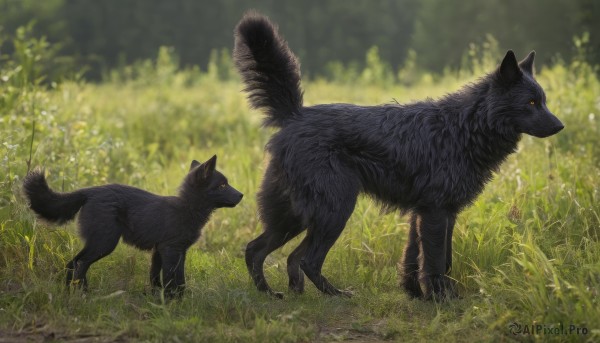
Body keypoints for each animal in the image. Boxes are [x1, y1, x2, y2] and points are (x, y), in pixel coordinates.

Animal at [22, 157, 244, 298]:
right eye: (222, 186)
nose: (242, 195)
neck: (187, 208)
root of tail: (90, 191)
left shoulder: (163, 251)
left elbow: (162, 278)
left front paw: (160, 298)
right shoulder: (171, 250)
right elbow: (172, 279)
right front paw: (173, 302)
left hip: (99, 243)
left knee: (72, 264)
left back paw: (71, 292)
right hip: (104, 243)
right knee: (79, 263)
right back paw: (82, 293)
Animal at [234, 12, 564, 300]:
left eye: (543, 101)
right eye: (531, 102)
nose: (560, 126)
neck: (465, 127)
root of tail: (295, 115)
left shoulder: (429, 214)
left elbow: (419, 259)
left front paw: (416, 294)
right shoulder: (436, 213)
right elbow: (436, 261)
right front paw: (441, 299)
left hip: (294, 217)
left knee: (262, 251)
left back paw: (276, 295)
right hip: (334, 211)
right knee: (305, 259)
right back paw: (335, 295)